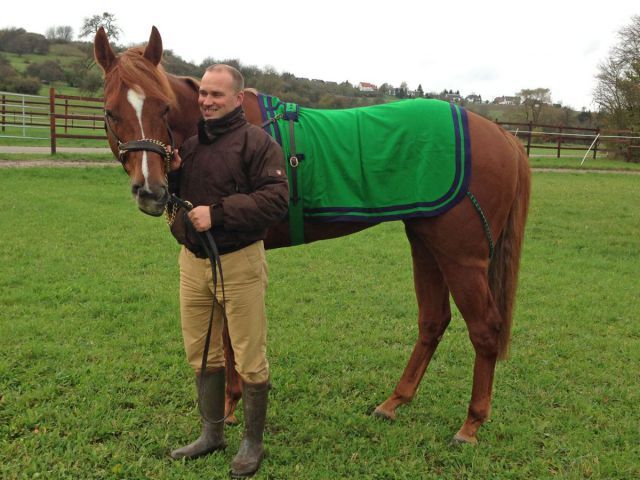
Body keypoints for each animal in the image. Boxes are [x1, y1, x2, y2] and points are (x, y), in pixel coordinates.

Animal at [91, 26, 528, 444]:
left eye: (163, 107)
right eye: (111, 113)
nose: (151, 190)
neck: (224, 133)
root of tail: (501, 136)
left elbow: (232, 335)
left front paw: (229, 408)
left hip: (462, 255)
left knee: (485, 328)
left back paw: (470, 425)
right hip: (427, 244)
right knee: (433, 321)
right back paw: (393, 403)